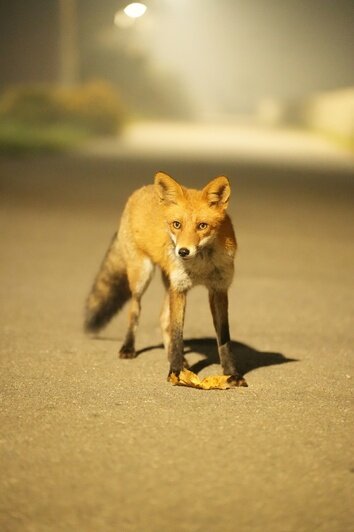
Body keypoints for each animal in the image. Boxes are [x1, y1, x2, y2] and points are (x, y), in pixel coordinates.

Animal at [84, 174, 248, 386]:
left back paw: (172, 356)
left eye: (202, 226)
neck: (200, 267)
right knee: (135, 310)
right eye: (176, 224)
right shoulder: (179, 288)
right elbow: (177, 333)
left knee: (162, 318)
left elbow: (224, 338)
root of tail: (141, 189)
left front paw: (232, 374)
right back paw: (129, 347)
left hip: (166, 282)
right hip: (142, 275)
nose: (183, 251)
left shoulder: (218, 289)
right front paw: (176, 372)